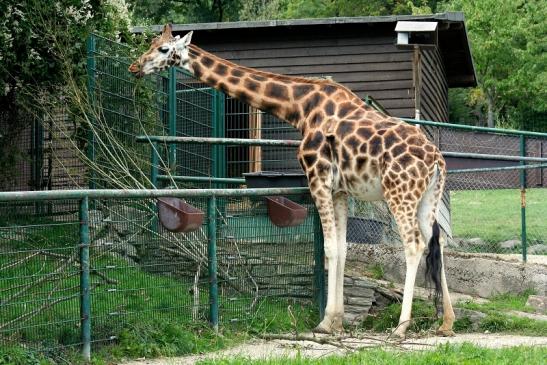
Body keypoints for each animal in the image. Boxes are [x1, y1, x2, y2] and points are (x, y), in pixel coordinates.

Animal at [130, 24, 458, 336]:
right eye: (150, 44)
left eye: (162, 49)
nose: (135, 66)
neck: (300, 108)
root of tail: (437, 160)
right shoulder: (340, 190)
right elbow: (342, 248)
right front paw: (337, 322)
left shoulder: (317, 178)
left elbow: (329, 249)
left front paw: (325, 322)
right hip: (427, 198)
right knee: (436, 242)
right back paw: (446, 323)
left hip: (399, 193)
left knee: (414, 244)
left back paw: (401, 327)